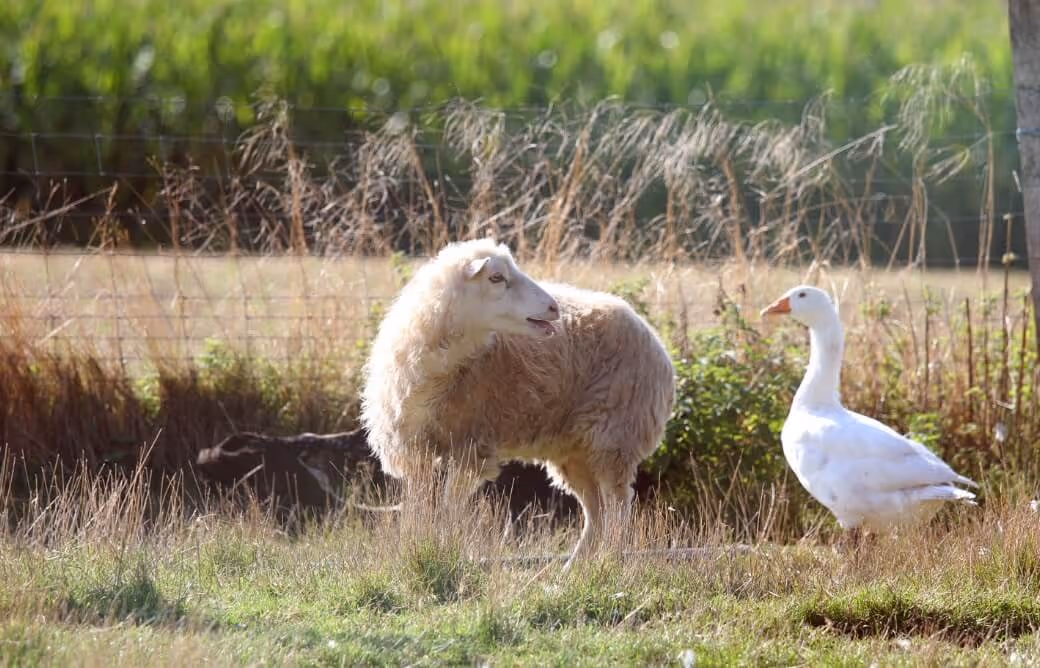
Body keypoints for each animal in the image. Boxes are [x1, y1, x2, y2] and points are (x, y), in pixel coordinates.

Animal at [359, 238, 676, 568]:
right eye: (496, 277)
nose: (553, 308)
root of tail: (661, 350)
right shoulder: (415, 450)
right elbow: (421, 509)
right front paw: (417, 549)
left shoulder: (470, 448)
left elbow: (449, 507)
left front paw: (445, 551)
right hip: (576, 449)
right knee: (596, 513)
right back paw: (571, 570)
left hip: (614, 438)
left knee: (617, 508)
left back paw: (607, 562)